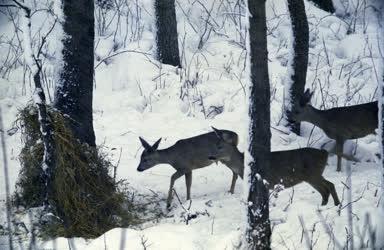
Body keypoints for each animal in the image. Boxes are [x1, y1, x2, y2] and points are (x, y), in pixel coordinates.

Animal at [208, 132, 340, 206]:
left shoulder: (265, 182)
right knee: (325, 190)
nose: (210, 156)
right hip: (312, 176)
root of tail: (325, 153)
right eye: (215, 145)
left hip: (313, 174)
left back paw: (336, 205)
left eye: (220, 146)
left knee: (329, 186)